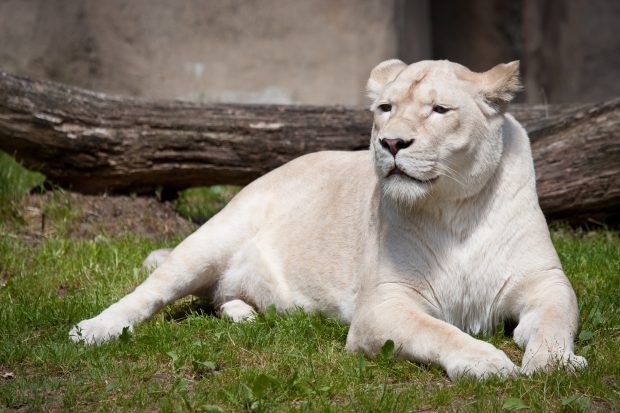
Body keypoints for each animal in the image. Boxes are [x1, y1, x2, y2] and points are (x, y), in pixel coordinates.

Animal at [71, 59, 588, 378]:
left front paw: (555, 363)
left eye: (440, 110)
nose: (391, 143)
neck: (455, 209)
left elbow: (556, 318)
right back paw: (92, 330)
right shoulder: (382, 307)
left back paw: (244, 313)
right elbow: (439, 331)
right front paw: (488, 361)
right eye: (385, 108)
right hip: (210, 240)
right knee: (149, 293)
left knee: (217, 297)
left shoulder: (545, 281)